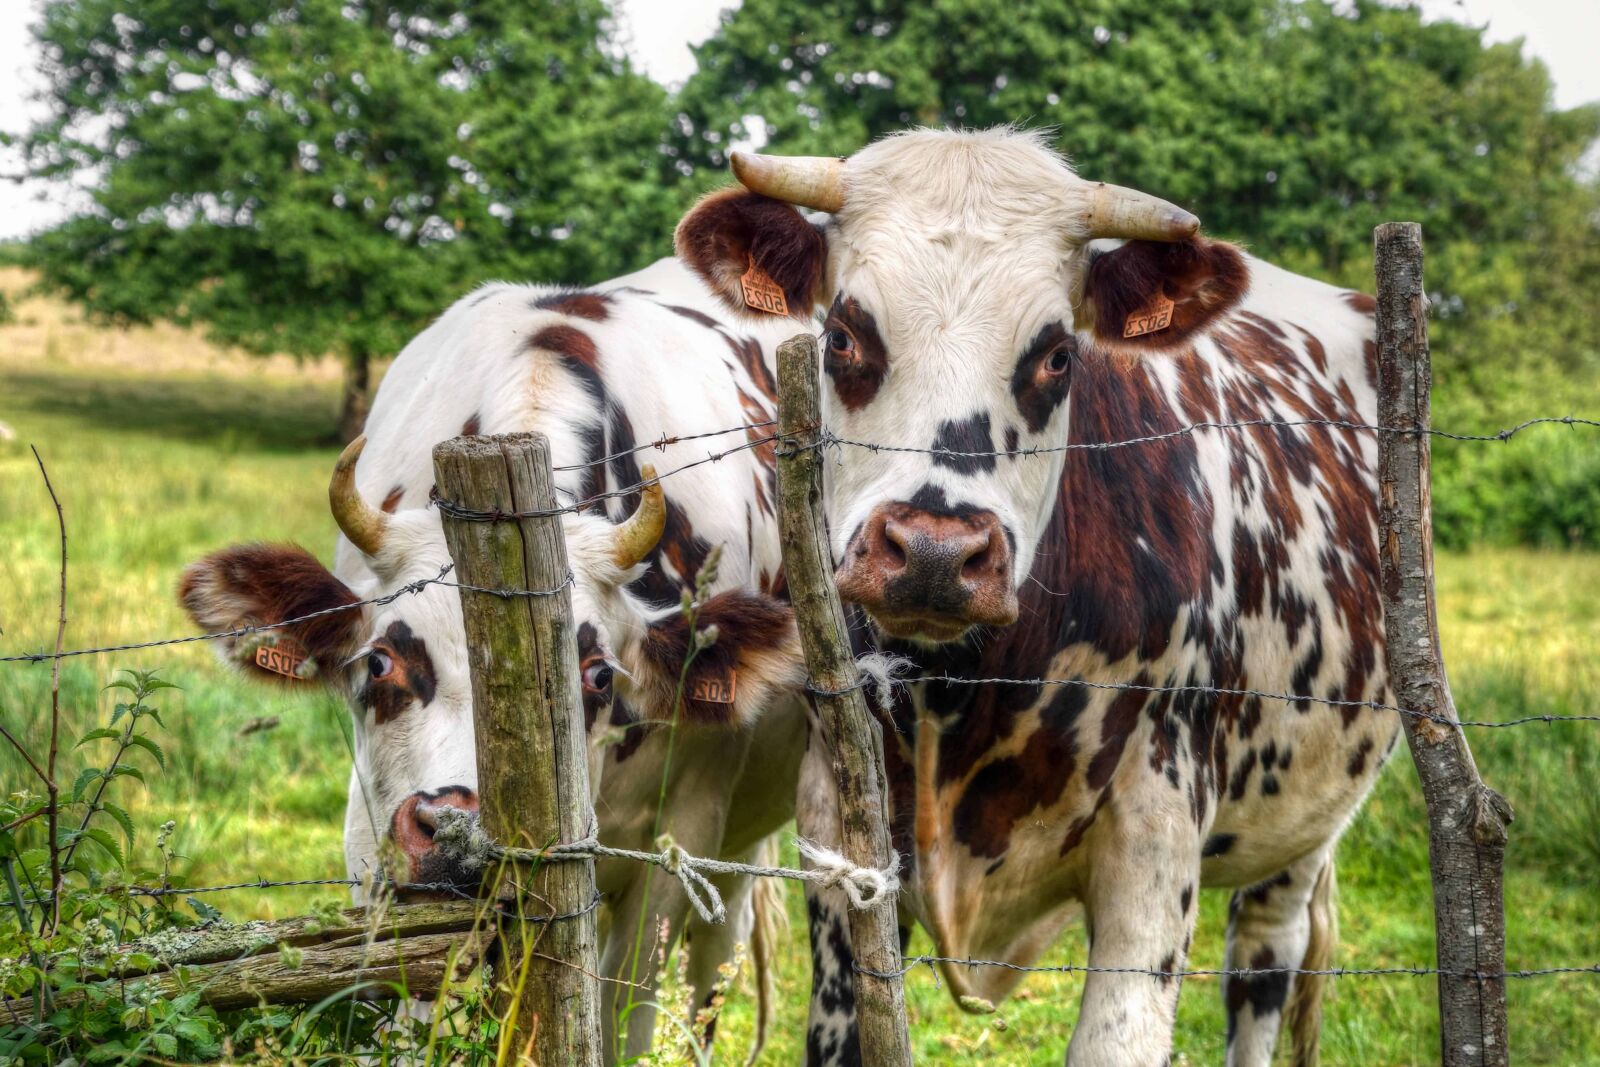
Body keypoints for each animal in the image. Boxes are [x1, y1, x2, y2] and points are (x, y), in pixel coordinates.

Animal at [177, 256, 815, 1061]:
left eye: (598, 676)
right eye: (379, 662)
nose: (454, 831)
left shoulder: (685, 836)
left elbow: (621, 1016)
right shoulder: (373, 840)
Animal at [674, 127, 1398, 1067]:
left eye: (1057, 354)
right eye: (842, 337)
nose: (935, 553)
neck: (961, 694)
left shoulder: (1156, 847)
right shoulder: (837, 842)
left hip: (1309, 817)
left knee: (1264, 960)